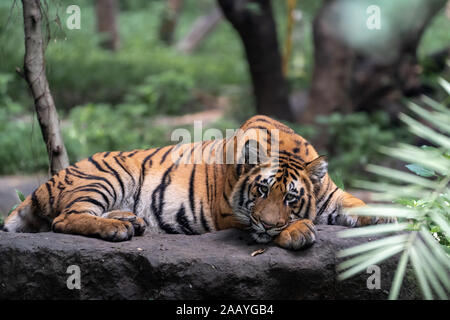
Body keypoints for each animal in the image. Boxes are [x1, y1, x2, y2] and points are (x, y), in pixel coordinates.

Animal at [2, 115, 390, 250]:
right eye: (261, 190)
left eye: (291, 198)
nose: (269, 223)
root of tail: (45, 183)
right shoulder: (231, 215)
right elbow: (265, 227)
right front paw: (297, 231)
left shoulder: (334, 197)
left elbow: (365, 205)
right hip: (105, 177)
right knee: (63, 219)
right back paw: (116, 228)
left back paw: (130, 220)